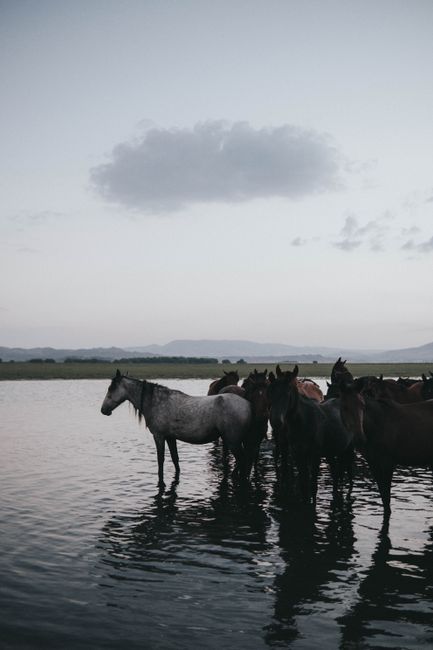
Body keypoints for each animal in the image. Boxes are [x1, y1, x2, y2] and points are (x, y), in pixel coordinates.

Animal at [101, 370, 252, 485]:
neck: (156, 402)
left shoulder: (159, 436)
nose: (103, 410)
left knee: (242, 460)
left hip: (233, 441)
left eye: (111, 388)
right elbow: (175, 459)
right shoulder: (170, 437)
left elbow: (160, 460)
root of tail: (247, 405)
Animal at [339, 381, 433, 518]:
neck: (375, 427)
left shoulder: (388, 462)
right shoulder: (373, 462)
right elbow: (383, 496)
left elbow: (387, 498)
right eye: (344, 406)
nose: (360, 438)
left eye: (362, 405)